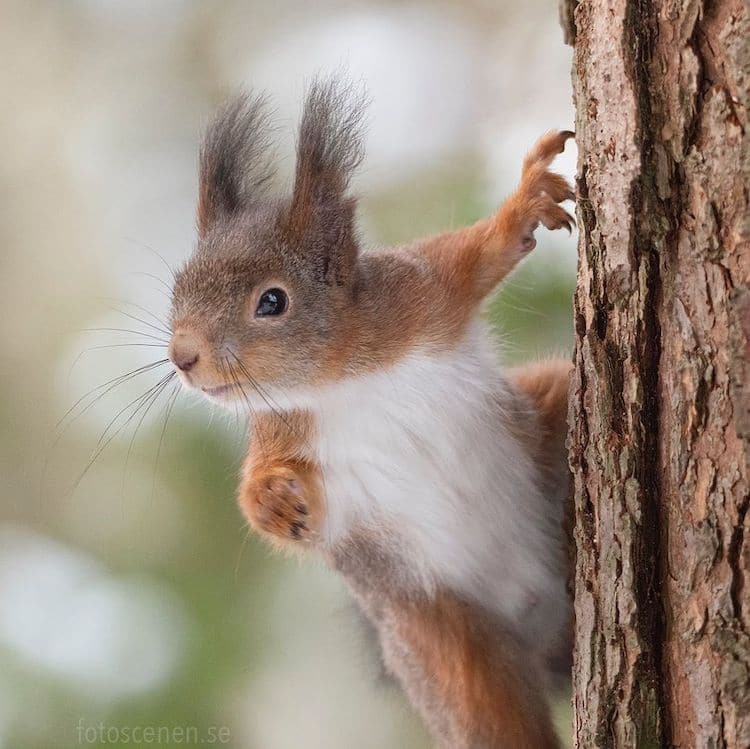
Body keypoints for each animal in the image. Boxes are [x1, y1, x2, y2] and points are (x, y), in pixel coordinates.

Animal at [168, 79, 575, 749]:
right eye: (177, 286)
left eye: (272, 301)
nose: (182, 357)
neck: (342, 377)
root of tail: (543, 633)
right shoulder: (286, 437)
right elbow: (277, 489)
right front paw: (269, 502)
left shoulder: (424, 291)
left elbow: (478, 257)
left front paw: (526, 201)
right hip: (443, 649)